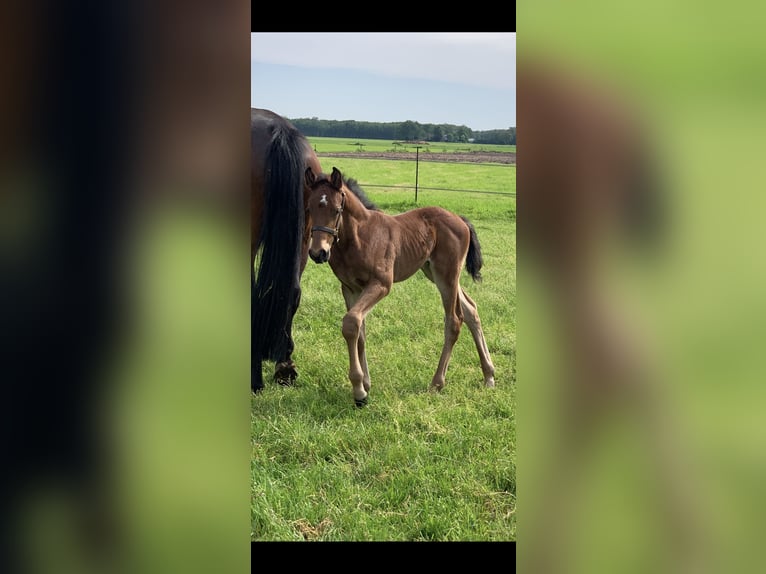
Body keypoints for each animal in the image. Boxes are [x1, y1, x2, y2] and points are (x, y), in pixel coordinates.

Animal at [304, 166, 496, 410]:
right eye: (310, 208)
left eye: (337, 210)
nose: (318, 253)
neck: (360, 237)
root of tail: (460, 219)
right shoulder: (350, 288)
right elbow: (359, 330)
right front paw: (366, 384)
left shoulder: (381, 284)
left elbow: (351, 323)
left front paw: (359, 392)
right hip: (432, 272)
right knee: (471, 311)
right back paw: (489, 375)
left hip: (447, 274)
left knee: (454, 320)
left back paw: (437, 383)